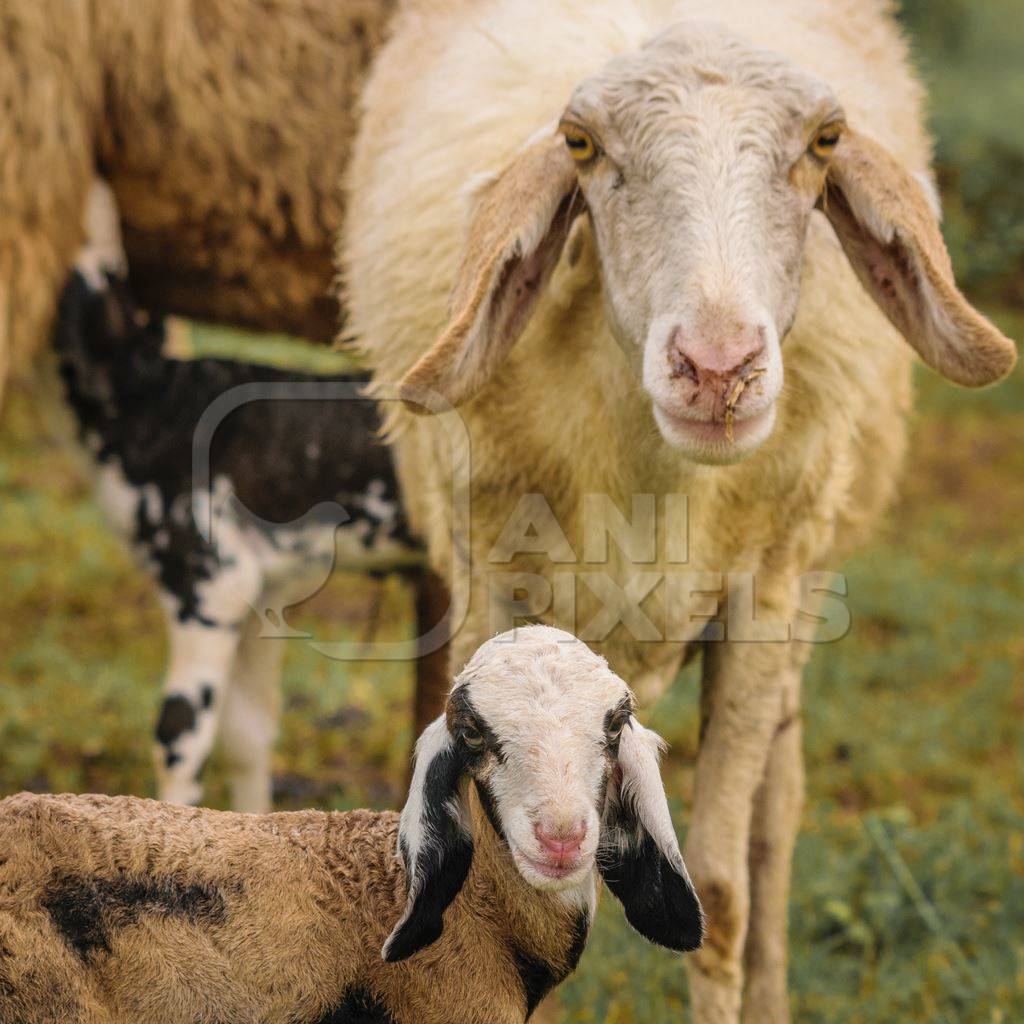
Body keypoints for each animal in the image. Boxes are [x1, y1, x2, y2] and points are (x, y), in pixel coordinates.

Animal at [342, 4, 1015, 1019]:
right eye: (581, 145)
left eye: (825, 143)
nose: (717, 366)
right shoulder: (493, 593)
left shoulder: (761, 604)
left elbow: (726, 891)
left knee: (775, 822)